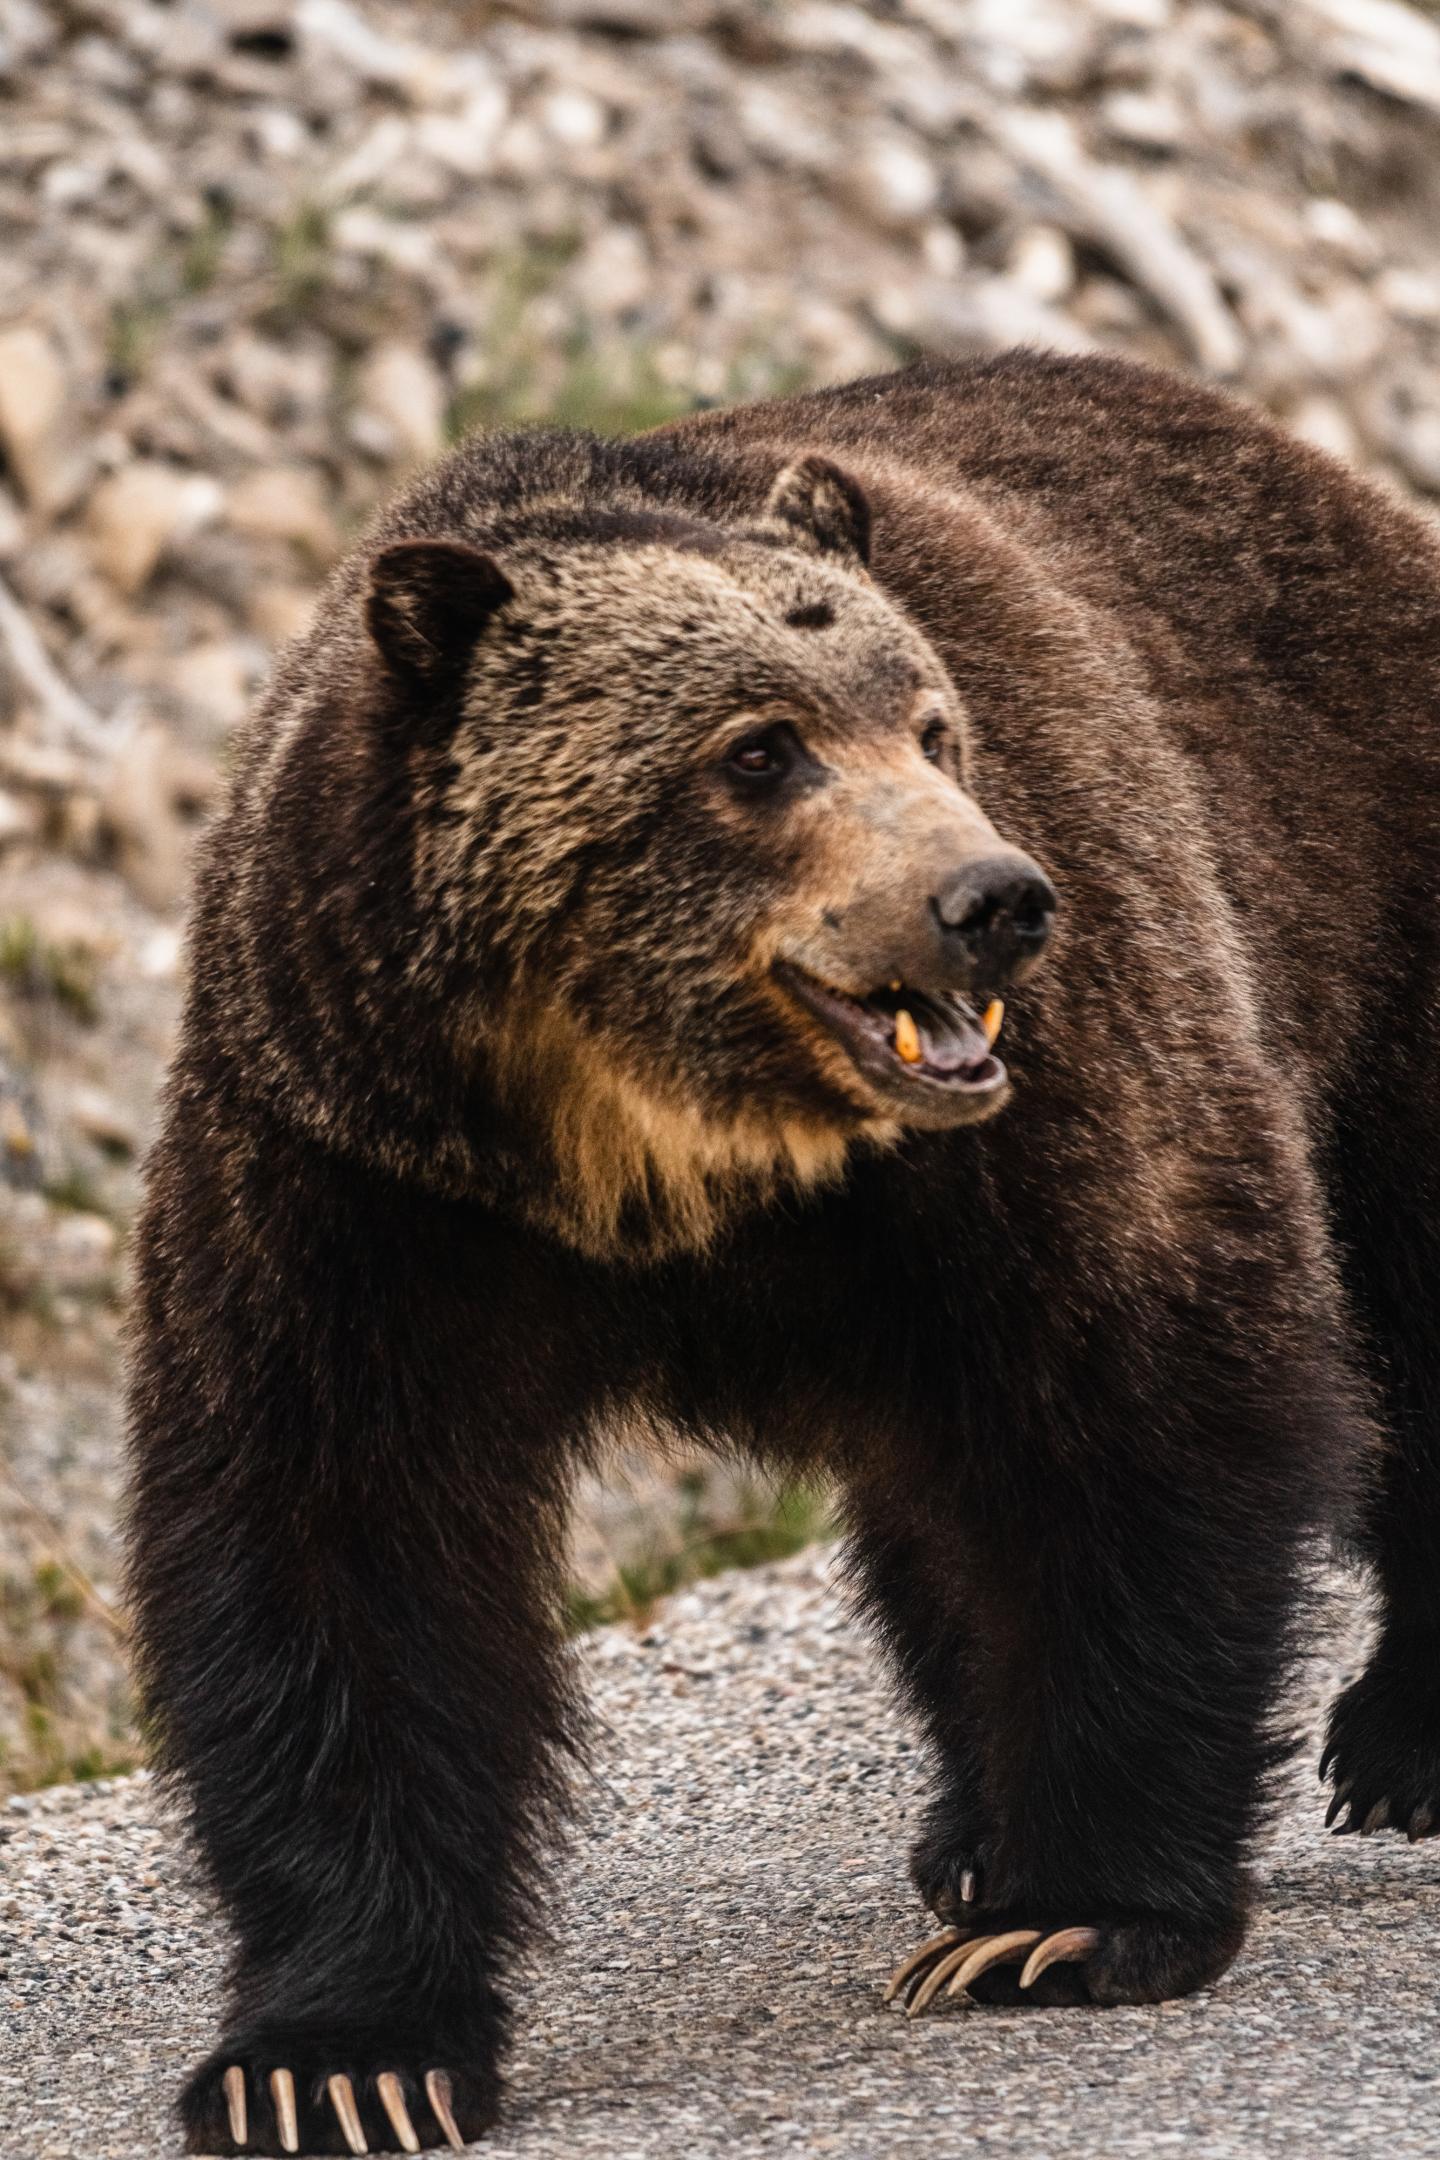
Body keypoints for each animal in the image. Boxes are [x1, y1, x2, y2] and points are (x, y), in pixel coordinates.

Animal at [125, 350, 1440, 2156]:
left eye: (935, 724)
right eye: (760, 749)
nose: (993, 899)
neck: (661, 1144)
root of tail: (1321, 471)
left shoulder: (1035, 1121)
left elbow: (1140, 1406)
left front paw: (1070, 1917)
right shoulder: (358, 1175)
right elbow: (335, 1544)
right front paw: (336, 2056)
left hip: (1364, 900)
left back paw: (1399, 1744)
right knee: (936, 1506)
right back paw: (971, 1829)